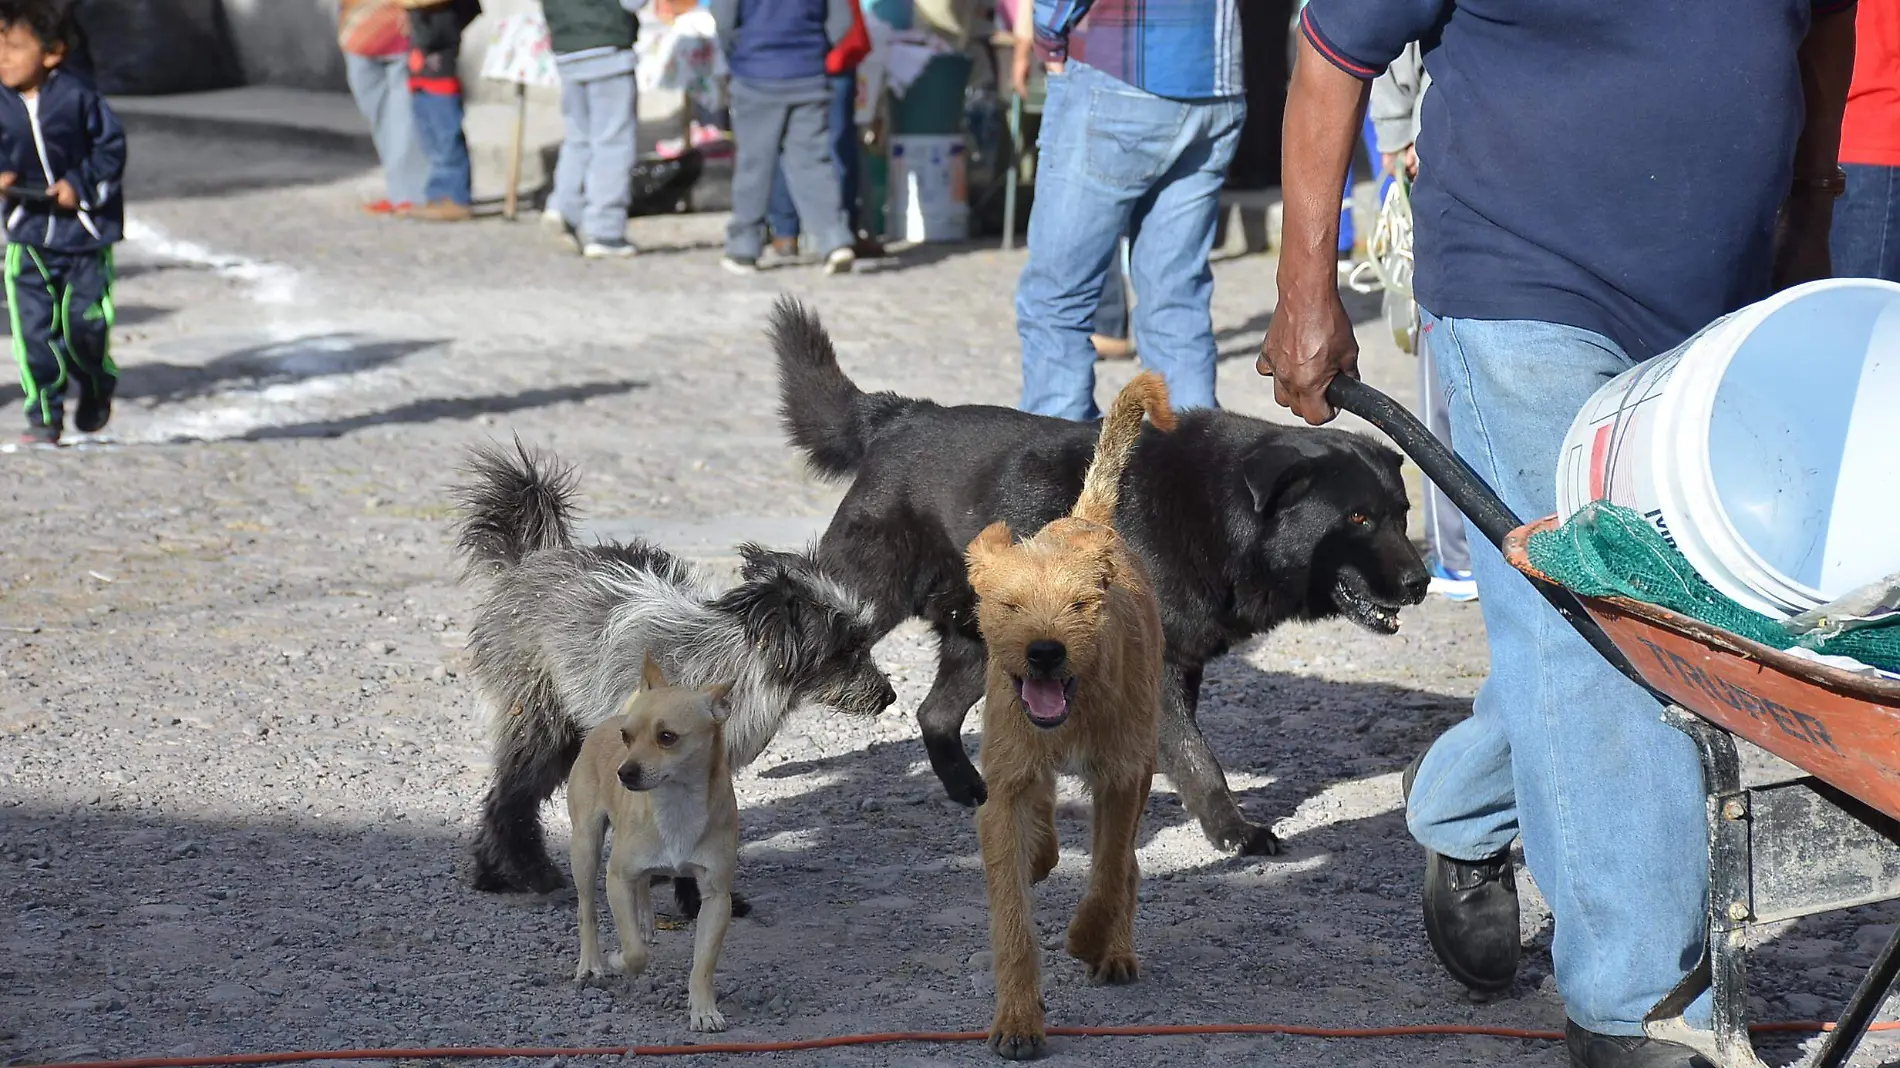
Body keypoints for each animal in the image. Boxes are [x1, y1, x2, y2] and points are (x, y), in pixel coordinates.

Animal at [456, 440, 893, 896]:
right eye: (846, 650)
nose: (889, 695)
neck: (725, 664)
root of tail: (526, 564)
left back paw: (490, 873)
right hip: (543, 723)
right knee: (511, 796)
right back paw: (527, 872)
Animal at [771, 300, 1428, 855]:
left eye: (1401, 514)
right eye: (1358, 518)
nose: (1420, 583)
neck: (1216, 512)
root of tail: (900, 417)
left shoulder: (1175, 667)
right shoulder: (1160, 670)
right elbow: (1199, 759)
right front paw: (1233, 831)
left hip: (982, 640)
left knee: (934, 714)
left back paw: (970, 789)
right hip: (863, 598)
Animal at [965, 370, 1170, 1048]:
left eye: (1081, 604)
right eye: (1008, 604)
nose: (1045, 652)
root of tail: (1085, 521)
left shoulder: (1123, 777)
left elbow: (1108, 872)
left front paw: (1088, 938)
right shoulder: (1003, 788)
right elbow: (1011, 918)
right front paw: (1017, 1019)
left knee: (1126, 865)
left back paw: (1115, 949)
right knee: (1047, 816)